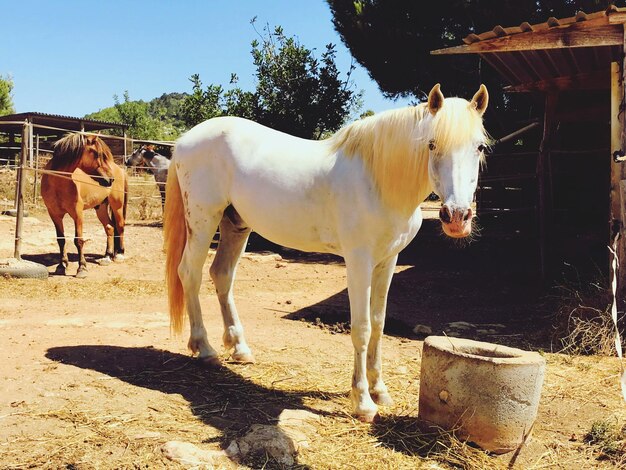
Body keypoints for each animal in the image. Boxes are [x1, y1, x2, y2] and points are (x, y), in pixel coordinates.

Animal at [40, 132, 128, 278]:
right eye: (98, 154)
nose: (110, 179)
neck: (58, 183)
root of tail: (119, 169)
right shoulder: (54, 214)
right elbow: (61, 240)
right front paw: (61, 265)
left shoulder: (78, 214)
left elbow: (79, 240)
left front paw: (82, 268)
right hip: (100, 208)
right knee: (110, 227)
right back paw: (107, 256)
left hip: (117, 206)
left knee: (120, 226)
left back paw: (119, 254)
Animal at [165, 84, 488, 422]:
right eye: (432, 144)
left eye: (479, 147)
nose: (457, 217)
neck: (378, 180)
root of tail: (185, 139)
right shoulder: (359, 261)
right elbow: (361, 327)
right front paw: (363, 402)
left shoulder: (388, 261)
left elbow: (379, 322)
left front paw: (380, 390)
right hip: (203, 221)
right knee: (190, 274)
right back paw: (205, 349)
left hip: (236, 224)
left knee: (222, 275)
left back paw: (239, 349)